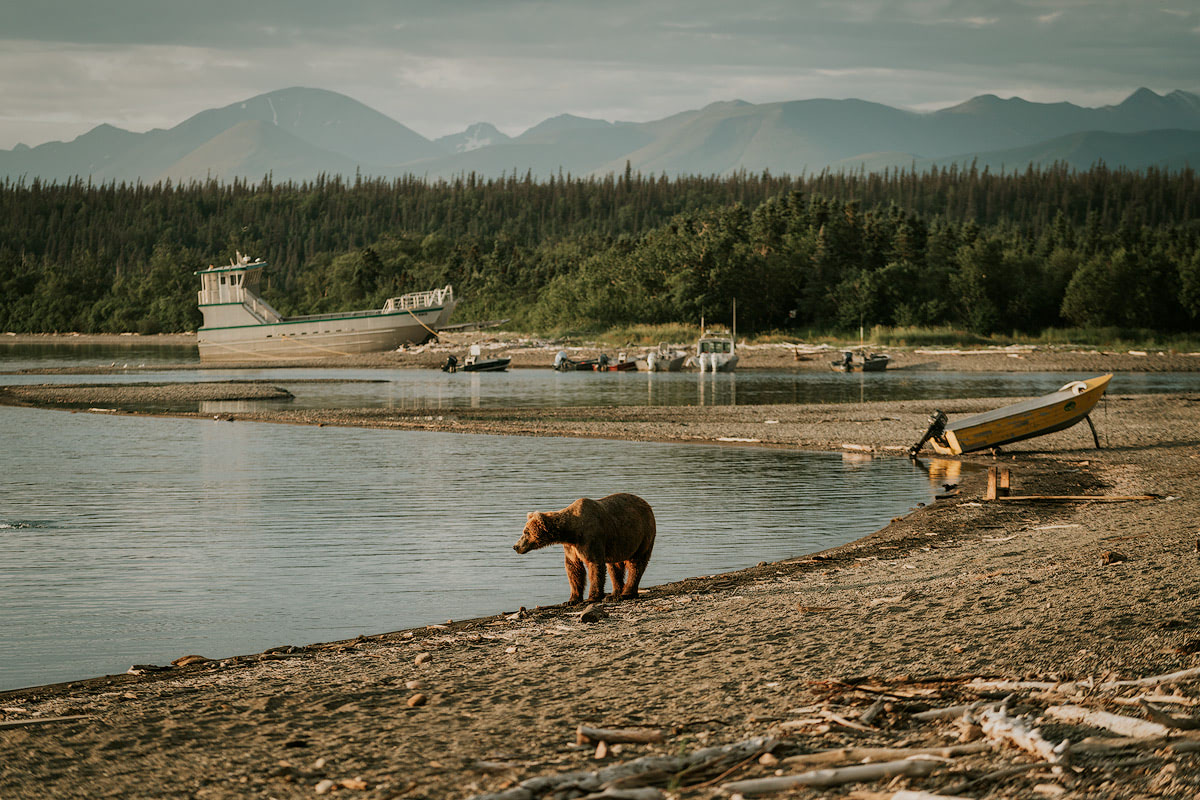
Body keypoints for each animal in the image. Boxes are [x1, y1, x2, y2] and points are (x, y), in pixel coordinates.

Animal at [508, 491, 657, 604]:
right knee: (615, 567)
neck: (571, 532)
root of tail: (647, 504)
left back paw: (627, 593)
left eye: (526, 532)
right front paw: (572, 599)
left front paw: (592, 597)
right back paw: (615, 593)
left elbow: (594, 566)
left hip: (643, 535)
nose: (515, 546)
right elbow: (574, 568)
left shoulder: (590, 539)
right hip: (619, 544)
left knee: (636, 563)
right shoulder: (571, 547)